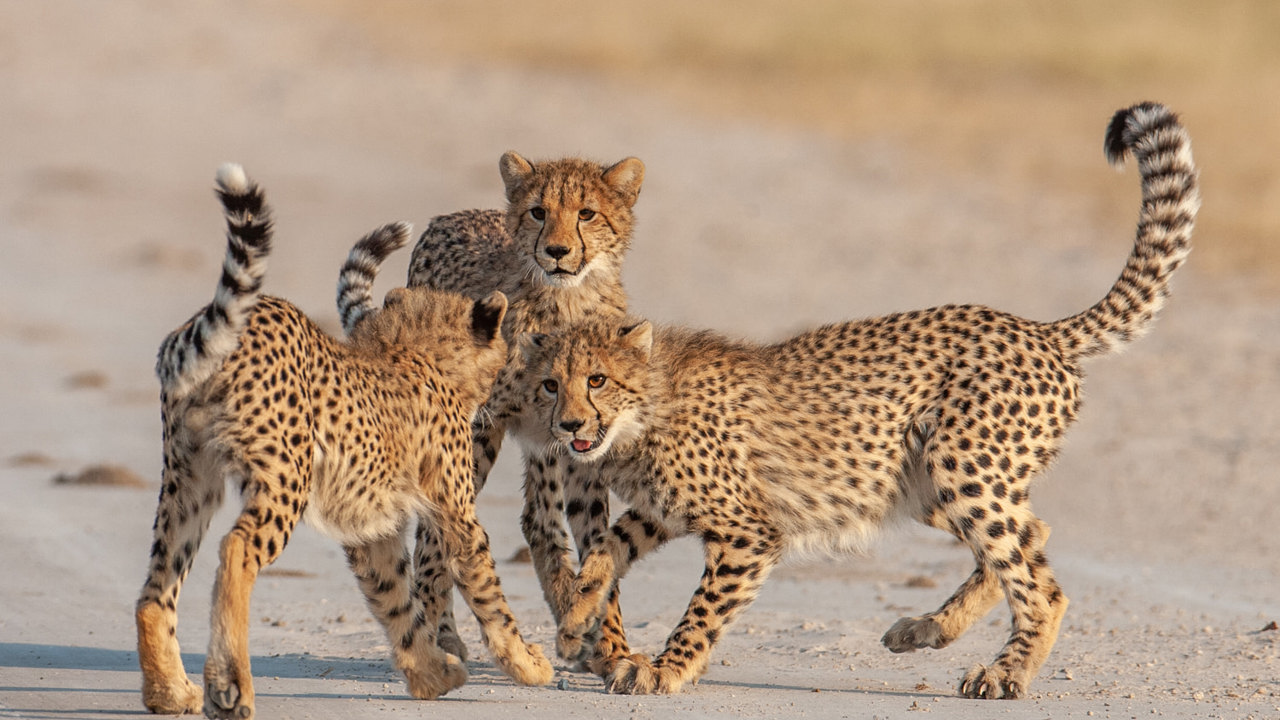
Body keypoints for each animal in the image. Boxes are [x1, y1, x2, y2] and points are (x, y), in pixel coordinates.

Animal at [135, 164, 552, 720]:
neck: (414, 348)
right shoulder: (454, 512)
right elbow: (486, 590)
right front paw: (527, 663)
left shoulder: (371, 524)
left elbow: (395, 597)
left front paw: (432, 674)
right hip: (284, 477)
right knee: (236, 550)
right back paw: (230, 687)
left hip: (189, 476)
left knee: (157, 587)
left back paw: (169, 691)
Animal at [400, 151, 645, 667]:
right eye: (538, 211)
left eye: (586, 213)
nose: (556, 250)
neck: (565, 303)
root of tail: (452, 216)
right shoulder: (476, 425)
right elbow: (446, 533)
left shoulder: (584, 436)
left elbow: (596, 541)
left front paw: (609, 645)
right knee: (436, 530)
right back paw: (442, 630)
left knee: (539, 521)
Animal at [517, 102, 1199, 699]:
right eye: (550, 384)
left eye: (596, 381)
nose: (569, 424)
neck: (645, 412)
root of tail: (1037, 328)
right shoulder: (668, 509)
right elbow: (608, 546)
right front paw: (576, 620)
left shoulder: (748, 531)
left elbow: (702, 608)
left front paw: (665, 668)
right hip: (915, 479)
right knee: (1031, 535)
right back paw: (927, 629)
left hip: (959, 466)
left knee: (1040, 584)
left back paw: (1003, 673)